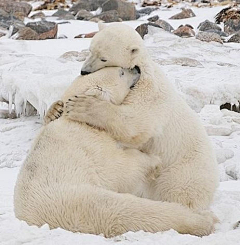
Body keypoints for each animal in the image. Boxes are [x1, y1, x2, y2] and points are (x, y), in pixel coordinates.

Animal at [14, 66, 218, 237]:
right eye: (121, 72)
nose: (136, 68)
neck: (75, 122)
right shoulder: (92, 144)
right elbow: (120, 167)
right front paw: (153, 162)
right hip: (81, 202)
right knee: (130, 211)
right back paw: (203, 220)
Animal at [63, 23, 219, 211]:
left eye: (104, 58)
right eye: (90, 50)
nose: (84, 71)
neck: (140, 68)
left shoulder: (148, 91)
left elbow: (136, 123)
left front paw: (82, 106)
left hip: (183, 171)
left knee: (178, 191)